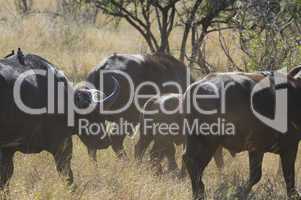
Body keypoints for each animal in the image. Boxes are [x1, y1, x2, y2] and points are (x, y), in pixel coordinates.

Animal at [0, 50, 119, 188]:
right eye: (93, 116)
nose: (105, 141)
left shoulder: (7, 151)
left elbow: (5, 178)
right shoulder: (62, 145)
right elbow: (68, 176)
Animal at [182, 68, 300, 198]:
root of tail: (193, 89)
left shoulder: (256, 149)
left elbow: (255, 175)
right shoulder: (290, 146)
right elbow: (288, 176)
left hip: (194, 139)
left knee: (188, 159)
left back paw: (198, 191)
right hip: (208, 142)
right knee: (194, 163)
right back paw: (199, 191)